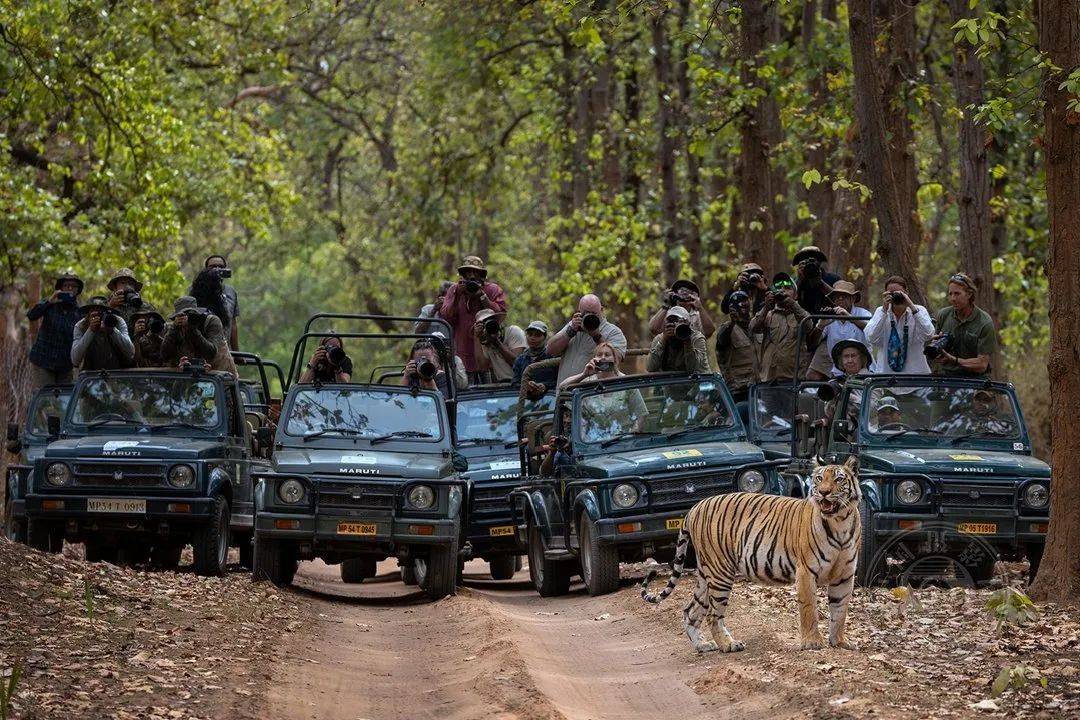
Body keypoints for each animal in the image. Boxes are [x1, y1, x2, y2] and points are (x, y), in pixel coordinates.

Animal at [639, 462, 859, 651]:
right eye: (819, 478)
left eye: (838, 479)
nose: (823, 492)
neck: (840, 523)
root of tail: (695, 507)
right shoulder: (806, 571)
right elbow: (809, 608)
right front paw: (812, 642)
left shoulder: (845, 575)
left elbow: (840, 610)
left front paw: (840, 641)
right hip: (720, 571)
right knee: (712, 615)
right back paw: (728, 645)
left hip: (705, 573)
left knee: (690, 610)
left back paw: (703, 645)